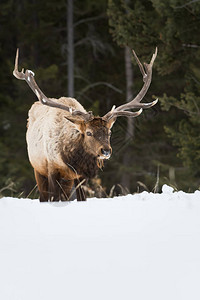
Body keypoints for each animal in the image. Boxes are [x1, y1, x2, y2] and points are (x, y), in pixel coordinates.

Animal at [13, 48, 159, 202]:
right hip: (38, 169)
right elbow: (53, 197)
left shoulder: (80, 176)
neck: (69, 159)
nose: (106, 151)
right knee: (43, 196)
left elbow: (82, 198)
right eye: (88, 132)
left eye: (109, 132)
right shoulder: (52, 168)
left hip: (66, 181)